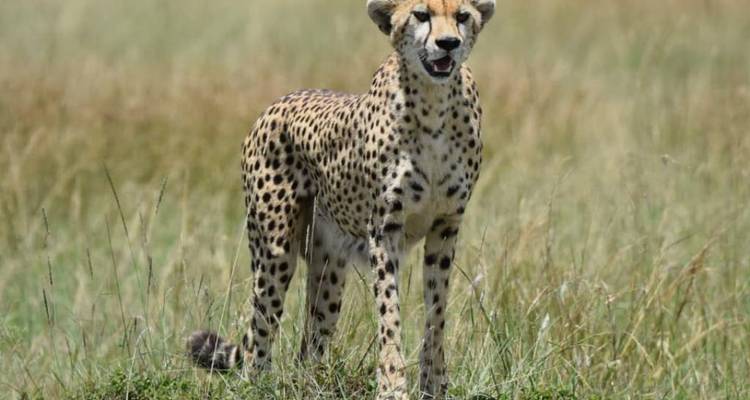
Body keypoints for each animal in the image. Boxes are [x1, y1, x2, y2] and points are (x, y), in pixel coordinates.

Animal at [187, 1, 495, 398]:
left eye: (462, 16)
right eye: (421, 14)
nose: (448, 44)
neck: (433, 104)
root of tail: (276, 103)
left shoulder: (445, 226)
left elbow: (436, 312)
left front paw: (433, 383)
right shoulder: (384, 230)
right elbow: (390, 312)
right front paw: (392, 385)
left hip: (329, 266)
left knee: (310, 341)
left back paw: (313, 382)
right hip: (275, 251)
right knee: (260, 335)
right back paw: (260, 385)